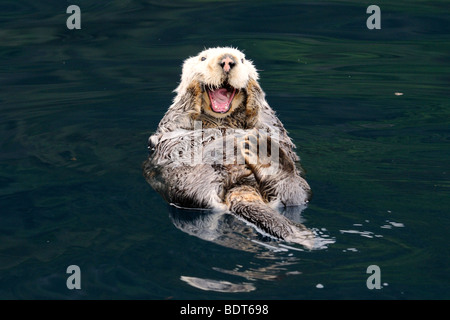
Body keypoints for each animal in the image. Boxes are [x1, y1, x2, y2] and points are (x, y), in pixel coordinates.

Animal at [143, 47, 312, 246]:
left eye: (242, 59)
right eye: (203, 58)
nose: (227, 61)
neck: (221, 119)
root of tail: (241, 186)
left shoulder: (269, 122)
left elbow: (267, 121)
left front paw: (253, 85)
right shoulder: (172, 122)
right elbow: (180, 113)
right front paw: (193, 85)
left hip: (299, 186)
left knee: (294, 195)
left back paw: (267, 157)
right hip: (186, 185)